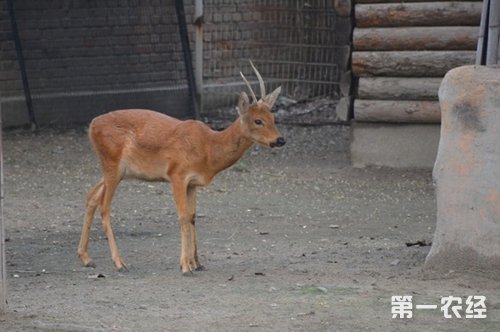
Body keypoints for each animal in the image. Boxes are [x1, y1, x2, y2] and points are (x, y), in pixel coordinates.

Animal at [75, 60, 284, 274]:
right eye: (258, 121)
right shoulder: (177, 174)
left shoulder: (192, 183)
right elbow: (183, 216)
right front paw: (185, 266)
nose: (280, 140)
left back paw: (86, 258)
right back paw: (119, 262)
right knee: (104, 207)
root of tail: (91, 126)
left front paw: (197, 262)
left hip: (116, 170)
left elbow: (192, 217)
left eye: (273, 118)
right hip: (113, 164)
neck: (209, 148)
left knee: (91, 196)